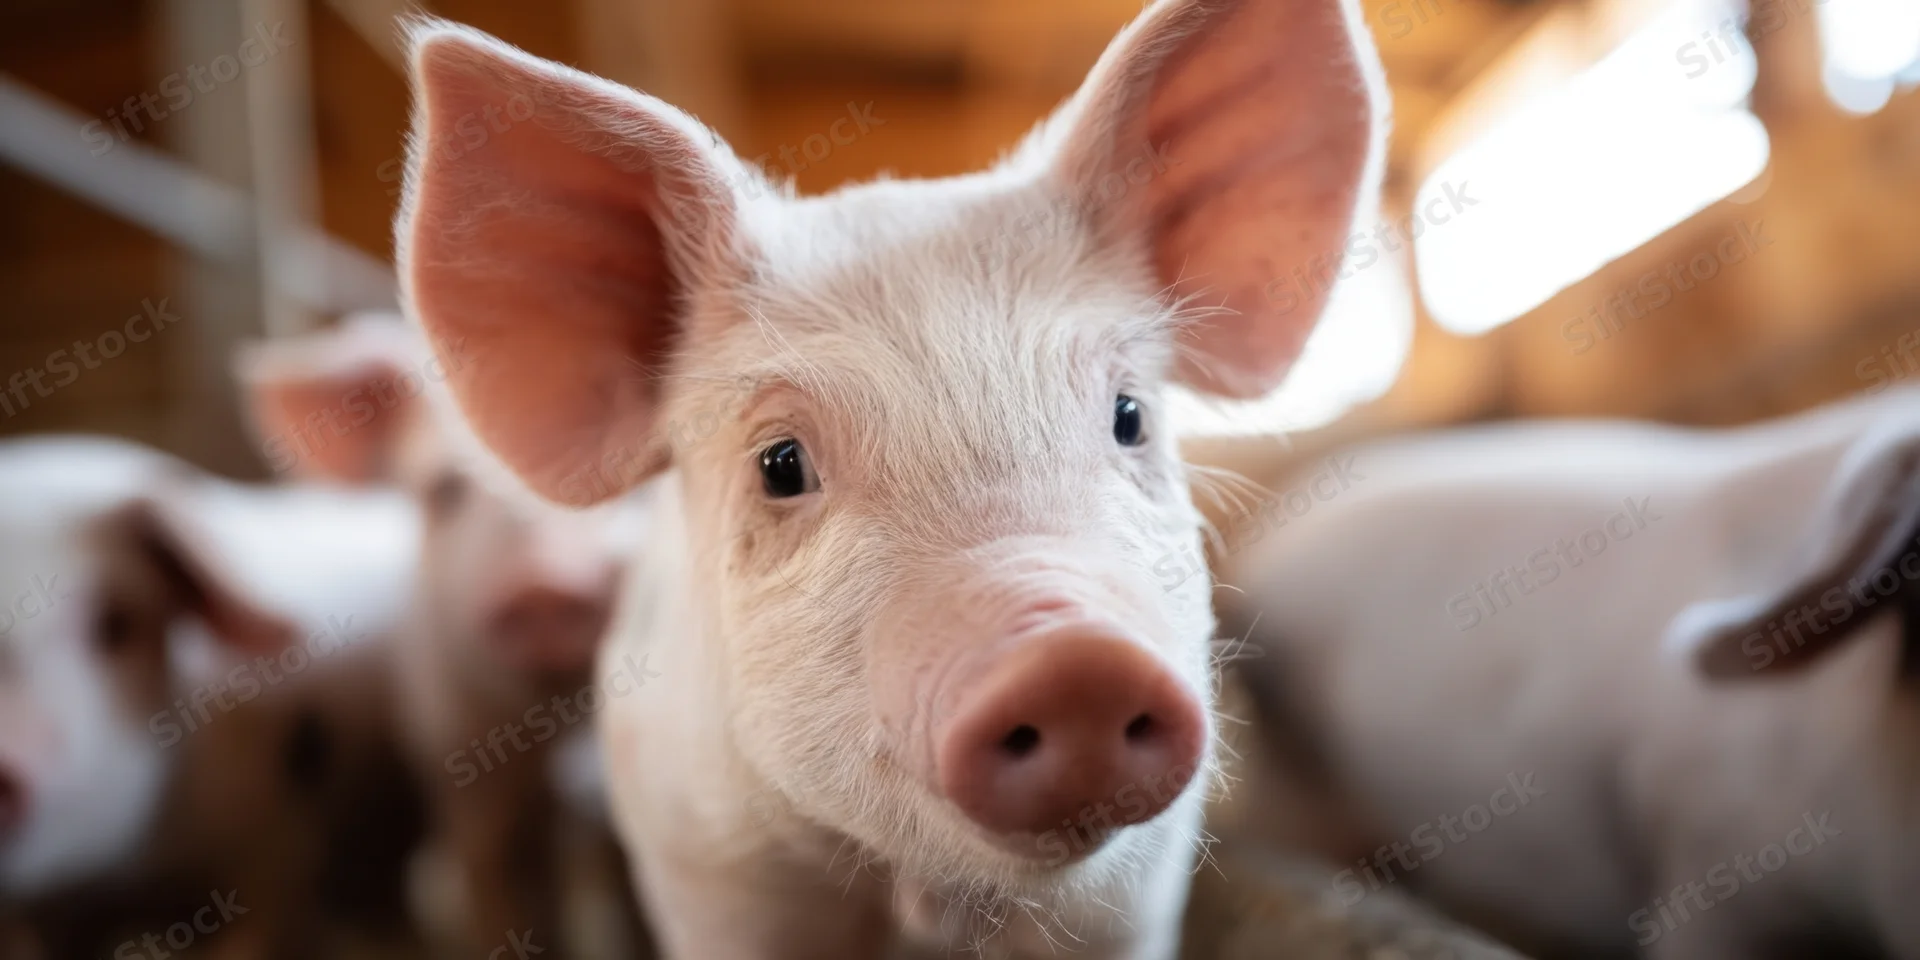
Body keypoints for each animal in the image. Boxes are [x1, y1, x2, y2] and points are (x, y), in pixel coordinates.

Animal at [387, 0, 1388, 954]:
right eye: (781, 465)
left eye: (1130, 416)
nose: (1076, 663)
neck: (920, 903)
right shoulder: (708, 870)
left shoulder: (1135, 889)